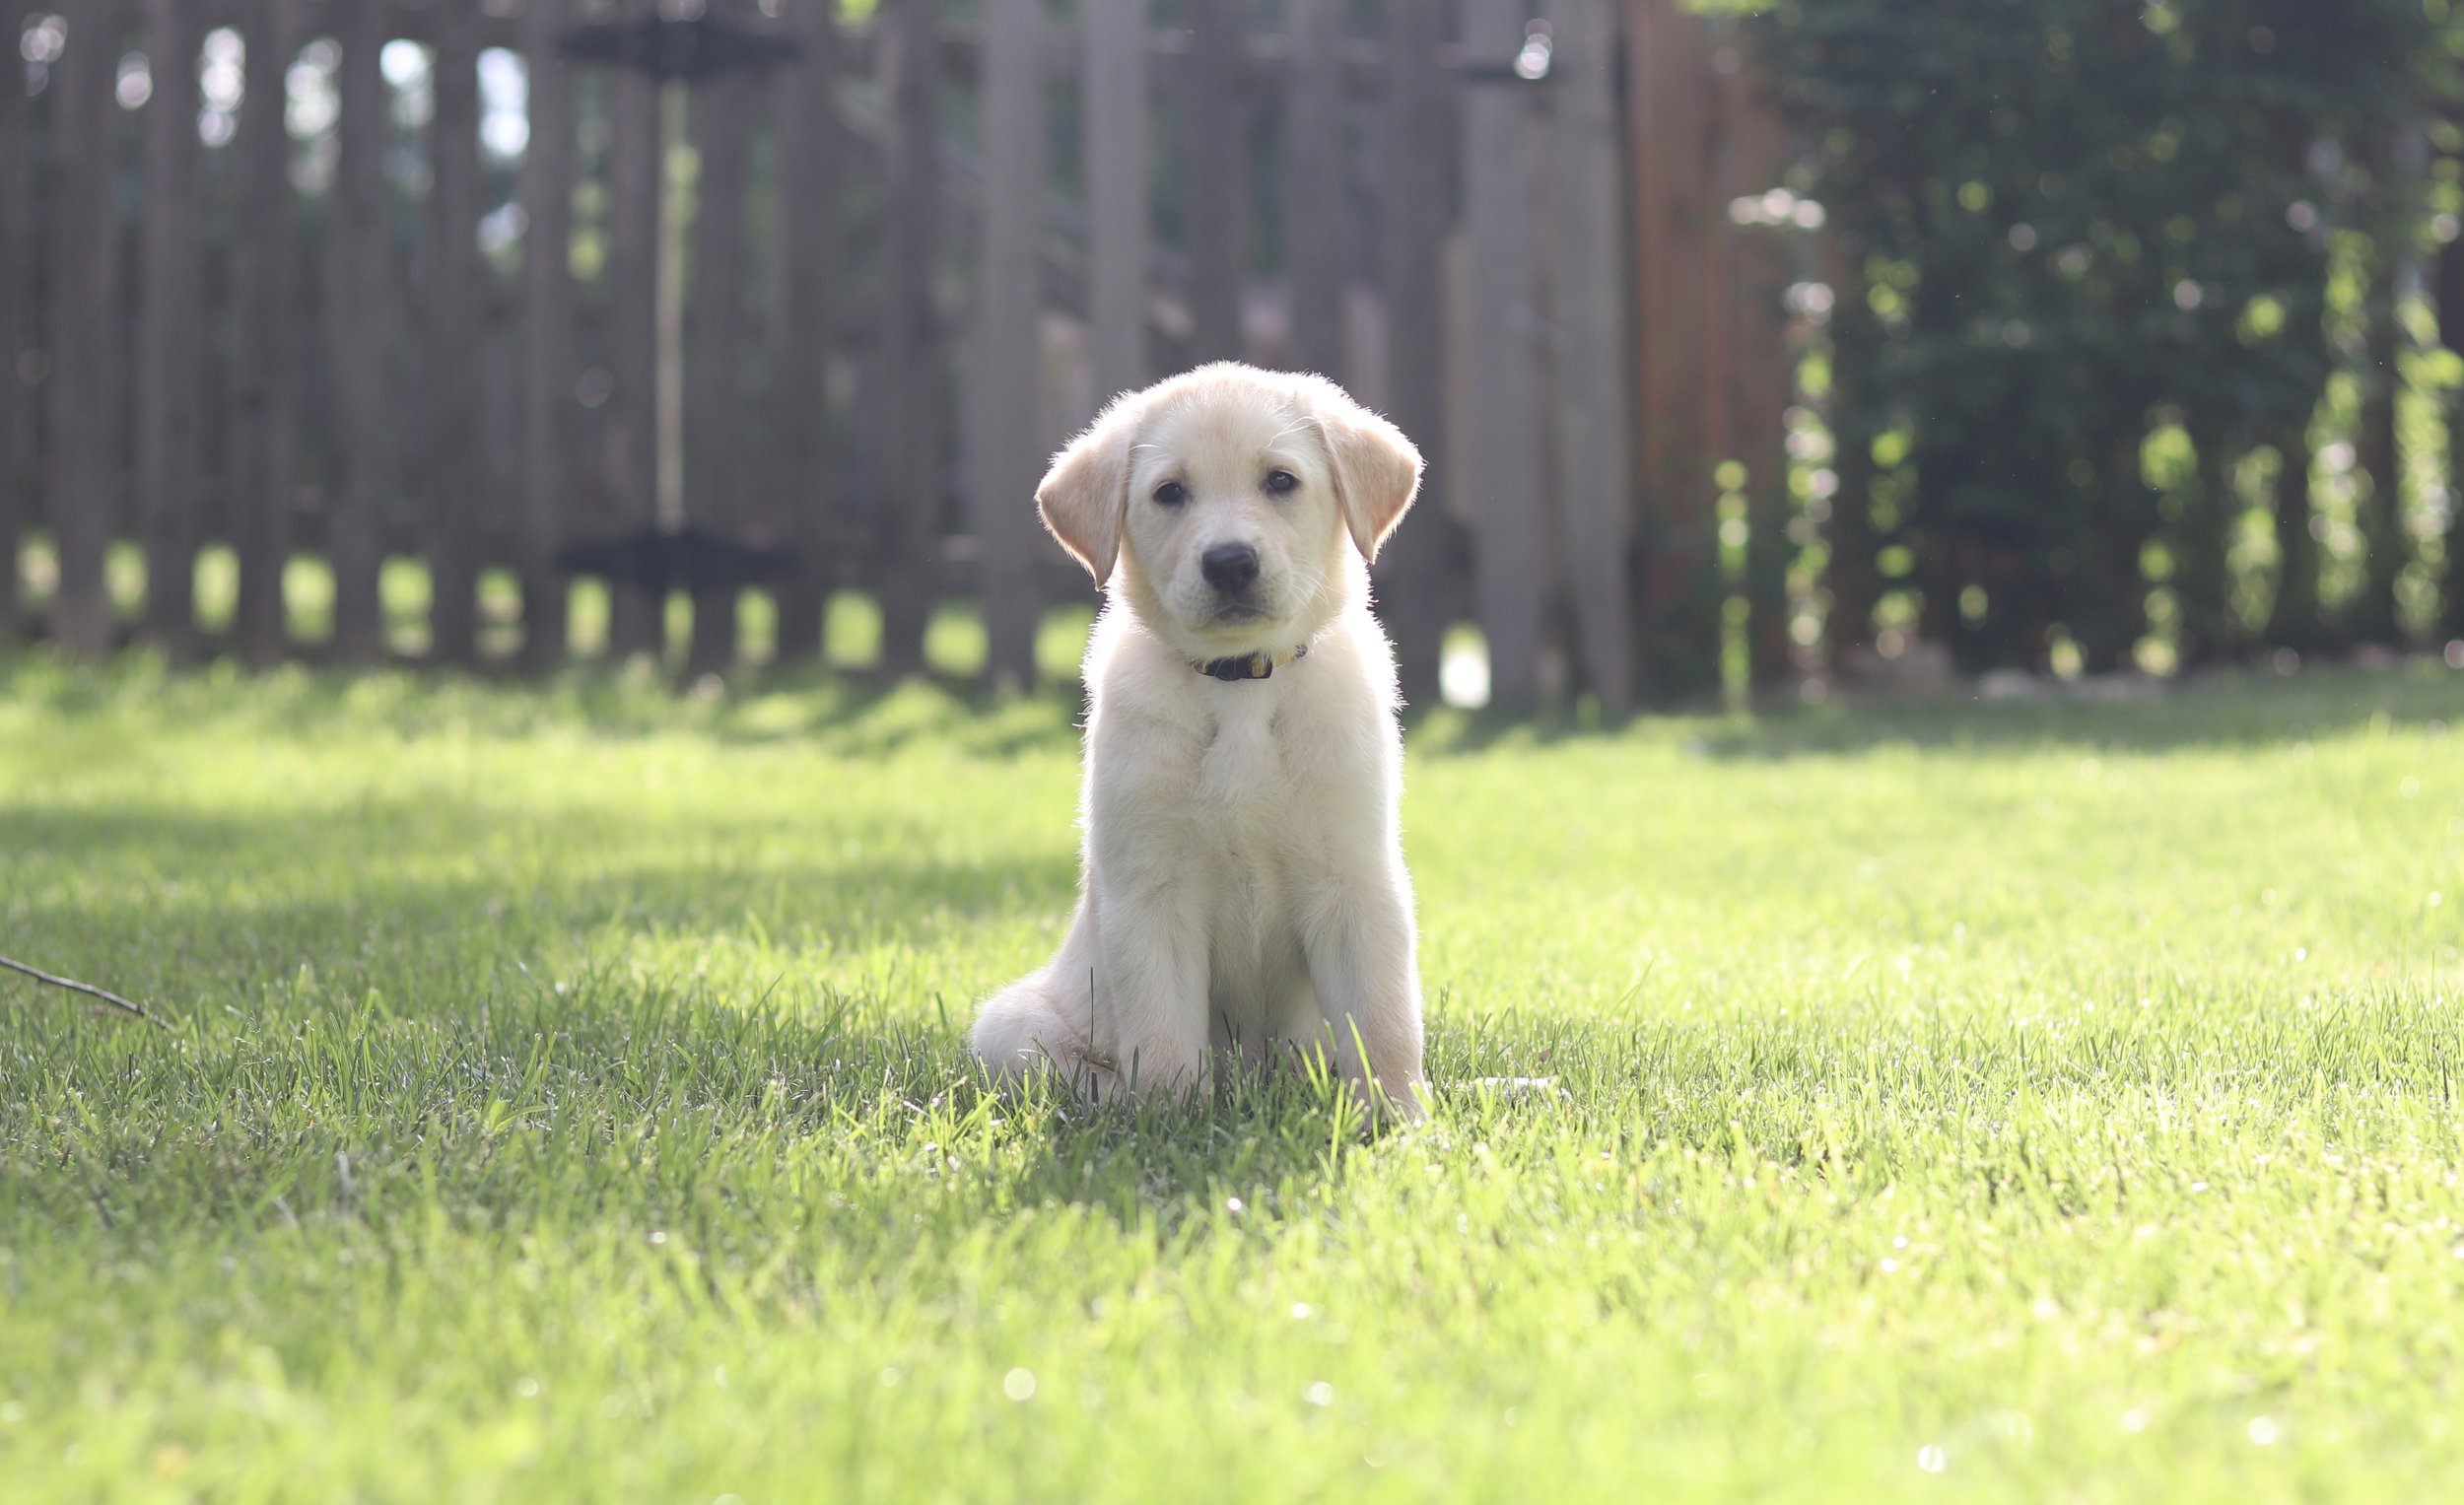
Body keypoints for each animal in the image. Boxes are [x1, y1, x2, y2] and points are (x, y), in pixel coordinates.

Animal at [961, 364, 1429, 1118]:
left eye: (1280, 481)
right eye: (1170, 492)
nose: (1230, 563)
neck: (1238, 684)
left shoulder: (1355, 881)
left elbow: (1383, 1024)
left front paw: (1400, 1121)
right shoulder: (1151, 891)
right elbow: (1163, 1040)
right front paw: (1172, 1123)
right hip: (1011, 1027)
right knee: (1086, 1076)